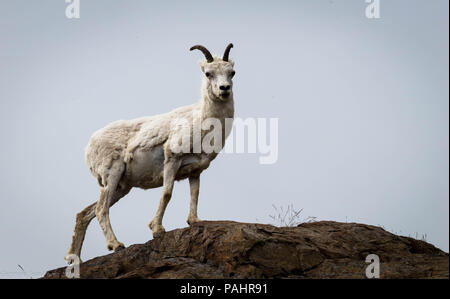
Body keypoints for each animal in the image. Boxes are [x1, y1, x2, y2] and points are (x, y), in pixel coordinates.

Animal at [66, 43, 237, 262]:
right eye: (208, 73)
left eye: (232, 72)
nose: (224, 89)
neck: (203, 123)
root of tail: (89, 146)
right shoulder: (172, 160)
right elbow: (167, 193)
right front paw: (156, 229)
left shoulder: (195, 171)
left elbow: (195, 194)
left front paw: (194, 221)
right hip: (111, 176)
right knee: (100, 210)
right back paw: (116, 245)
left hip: (122, 187)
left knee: (85, 214)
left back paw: (75, 259)